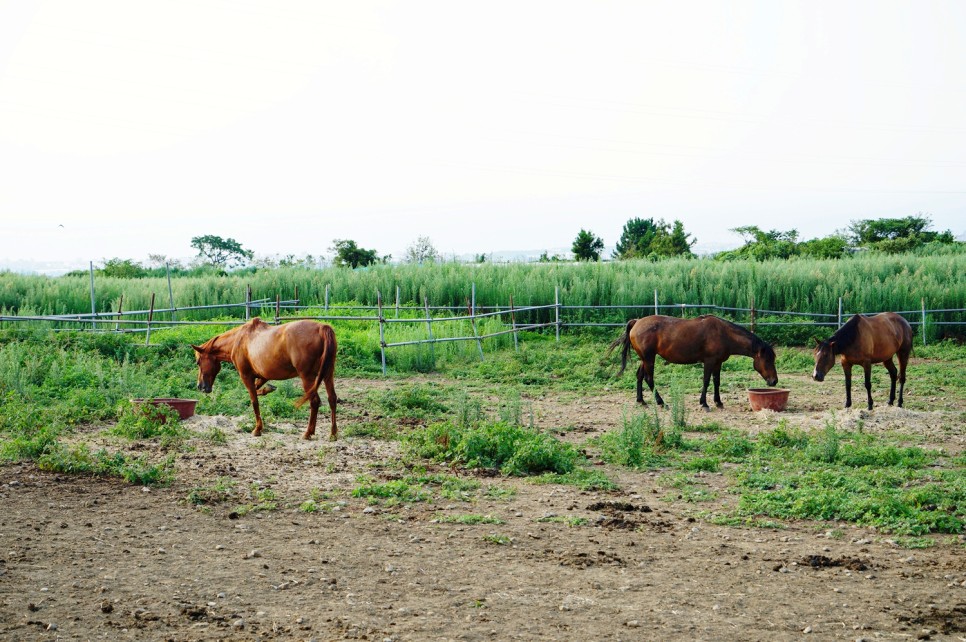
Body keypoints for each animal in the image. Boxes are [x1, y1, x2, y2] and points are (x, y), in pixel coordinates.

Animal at [191, 316, 338, 438]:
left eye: (198, 362)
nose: (200, 386)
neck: (239, 340)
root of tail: (322, 328)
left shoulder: (246, 376)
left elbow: (254, 400)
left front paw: (257, 429)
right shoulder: (262, 376)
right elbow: (257, 392)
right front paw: (268, 389)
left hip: (307, 378)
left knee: (314, 401)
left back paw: (308, 433)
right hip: (327, 375)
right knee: (332, 399)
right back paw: (333, 434)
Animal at [608, 316, 784, 410]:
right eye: (768, 359)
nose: (774, 381)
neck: (724, 334)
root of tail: (636, 322)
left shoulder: (718, 363)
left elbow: (716, 382)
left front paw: (718, 401)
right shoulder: (709, 361)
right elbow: (706, 381)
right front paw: (704, 403)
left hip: (644, 359)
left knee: (639, 376)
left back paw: (641, 401)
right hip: (649, 358)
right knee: (649, 378)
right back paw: (661, 402)